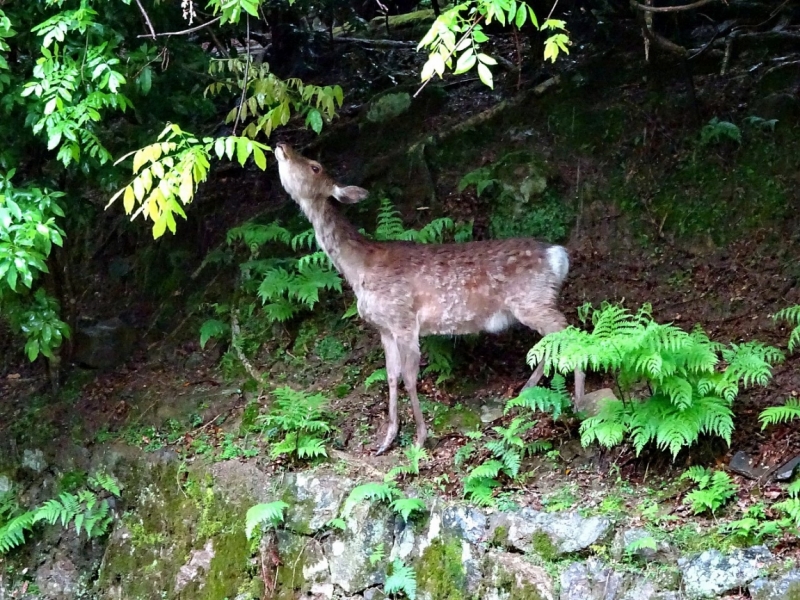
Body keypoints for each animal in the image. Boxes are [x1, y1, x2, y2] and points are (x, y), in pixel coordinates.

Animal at [272, 143, 584, 454]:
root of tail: (558, 255)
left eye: (315, 166)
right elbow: (391, 377)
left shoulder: (403, 319)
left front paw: (420, 438)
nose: (281, 145)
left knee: (570, 331)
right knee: (551, 340)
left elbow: (410, 378)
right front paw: (386, 440)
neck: (359, 270)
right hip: (534, 302)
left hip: (533, 299)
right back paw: (527, 390)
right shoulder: (384, 328)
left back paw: (579, 402)